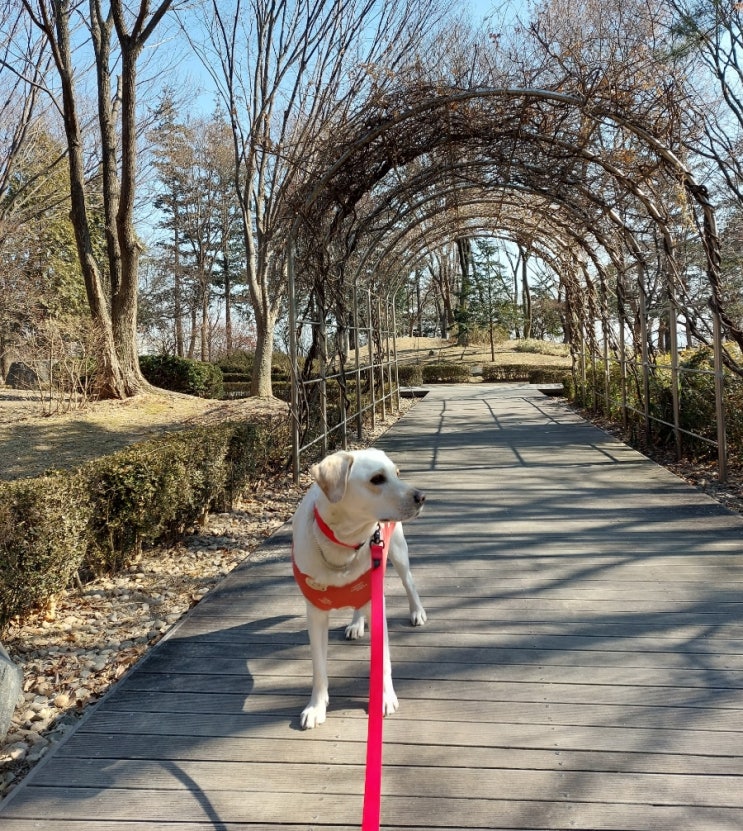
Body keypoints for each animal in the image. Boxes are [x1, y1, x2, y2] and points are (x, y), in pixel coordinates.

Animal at [294, 448, 428, 728]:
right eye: (377, 479)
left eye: (397, 473)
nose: (422, 496)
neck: (344, 545)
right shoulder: (315, 615)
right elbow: (318, 668)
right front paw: (316, 707)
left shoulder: (378, 605)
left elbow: (383, 661)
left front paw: (384, 698)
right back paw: (356, 623)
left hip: (398, 551)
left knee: (409, 581)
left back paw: (417, 611)